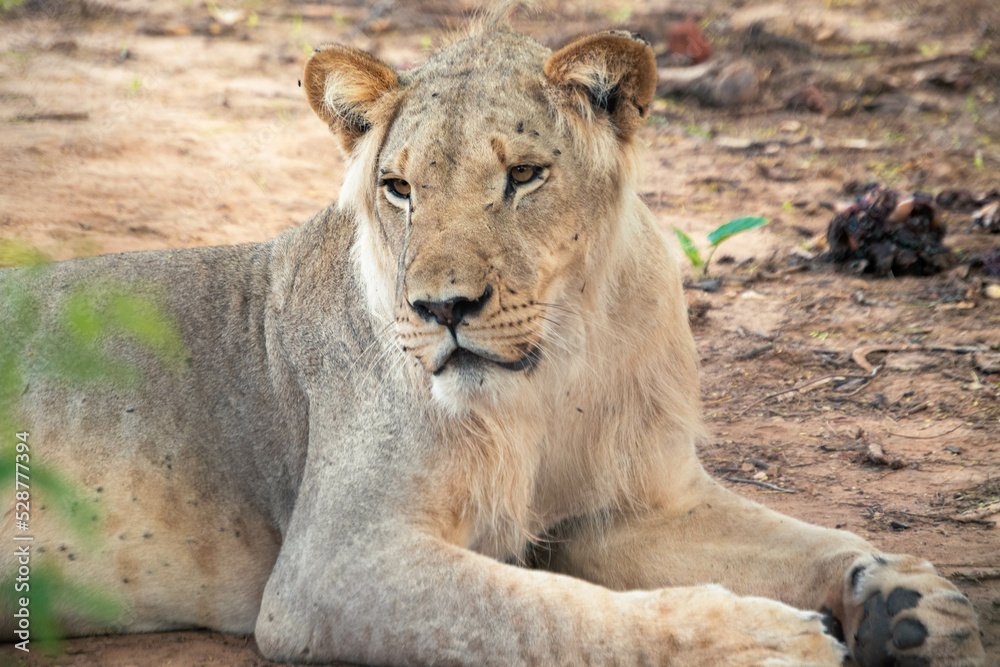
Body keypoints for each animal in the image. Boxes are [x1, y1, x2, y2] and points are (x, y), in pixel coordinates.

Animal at [0, 4, 985, 666]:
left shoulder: (631, 505)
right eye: (399, 188)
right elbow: (547, 612)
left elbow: (799, 534)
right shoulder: (329, 566)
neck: (555, 367)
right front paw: (756, 639)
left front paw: (908, 597)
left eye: (524, 176)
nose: (443, 308)